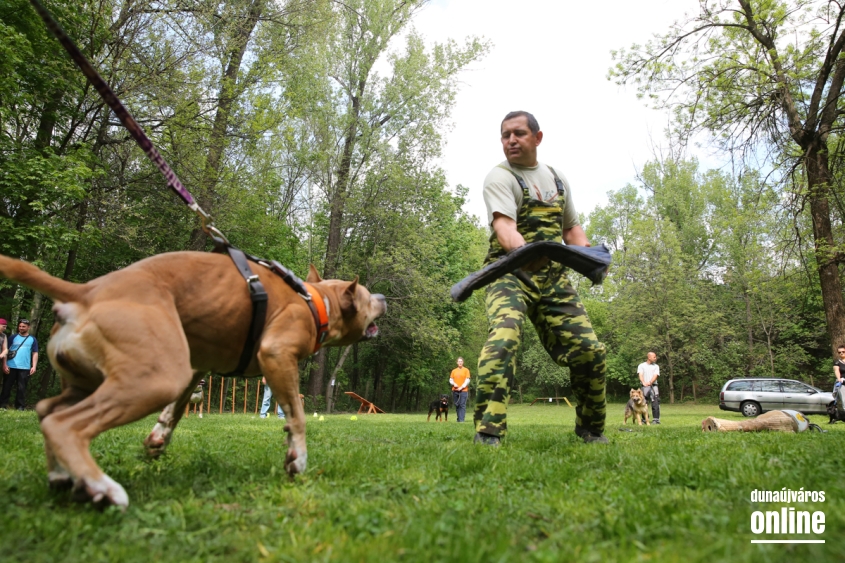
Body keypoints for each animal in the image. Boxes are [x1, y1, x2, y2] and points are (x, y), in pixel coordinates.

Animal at [0, 253, 386, 508]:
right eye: (368, 296)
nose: (383, 297)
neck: (316, 301)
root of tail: (84, 292)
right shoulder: (276, 355)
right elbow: (297, 416)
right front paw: (297, 459)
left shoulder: (196, 367)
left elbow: (176, 411)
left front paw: (158, 440)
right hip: (152, 379)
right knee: (65, 424)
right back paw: (102, 486)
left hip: (94, 380)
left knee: (47, 410)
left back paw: (64, 476)